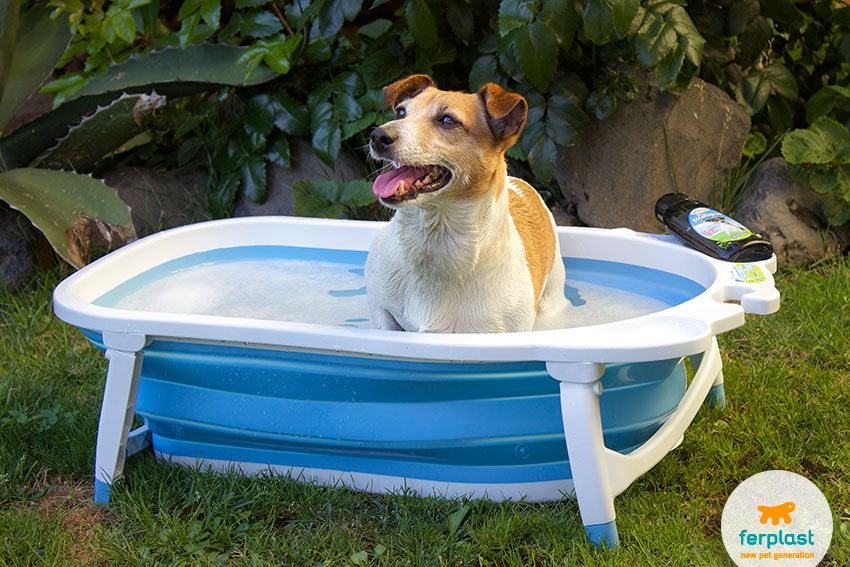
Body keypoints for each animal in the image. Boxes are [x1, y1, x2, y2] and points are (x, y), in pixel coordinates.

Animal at [362, 75, 564, 332]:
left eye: (448, 121)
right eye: (400, 112)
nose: (377, 136)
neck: (437, 237)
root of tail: (519, 183)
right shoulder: (381, 310)